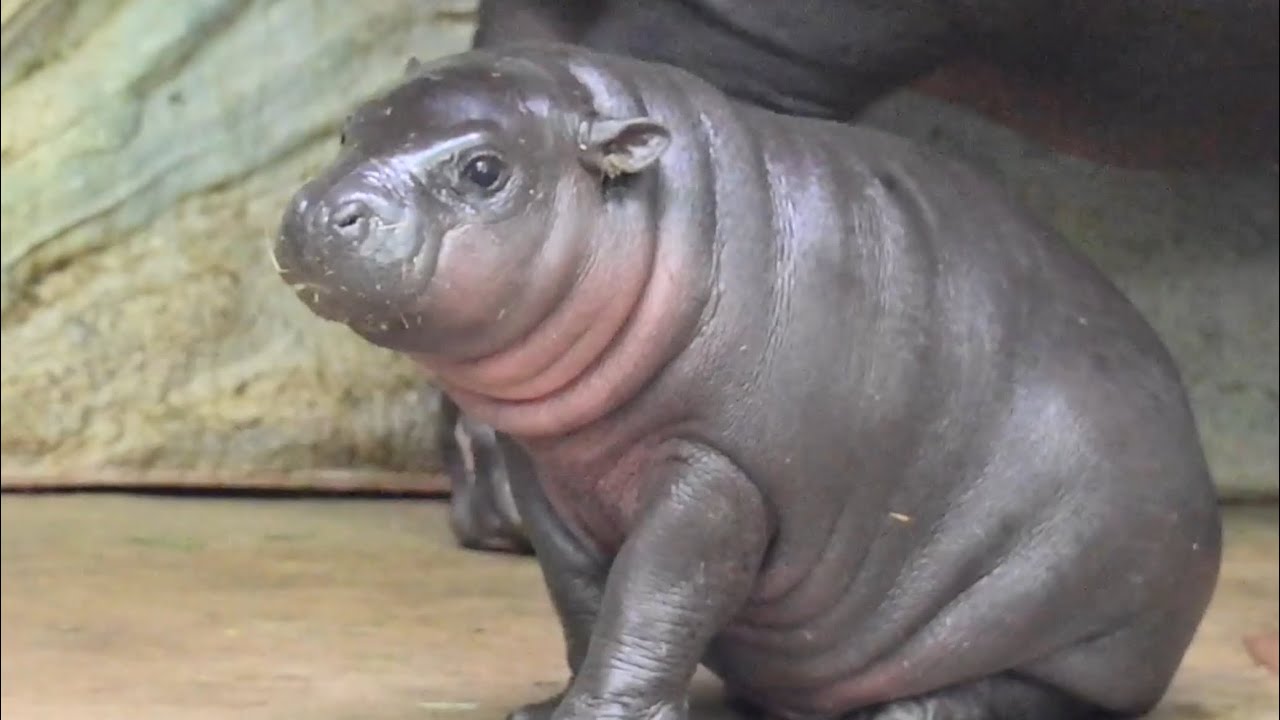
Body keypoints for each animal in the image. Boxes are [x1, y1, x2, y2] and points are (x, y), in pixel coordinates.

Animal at [272, 44, 1223, 719]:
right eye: (352, 128)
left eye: (483, 170)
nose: (318, 210)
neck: (660, 221)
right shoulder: (547, 472)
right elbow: (581, 592)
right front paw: (547, 707)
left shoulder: (724, 477)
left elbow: (655, 592)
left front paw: (597, 715)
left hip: (1075, 620)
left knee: (1014, 693)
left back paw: (902, 714)